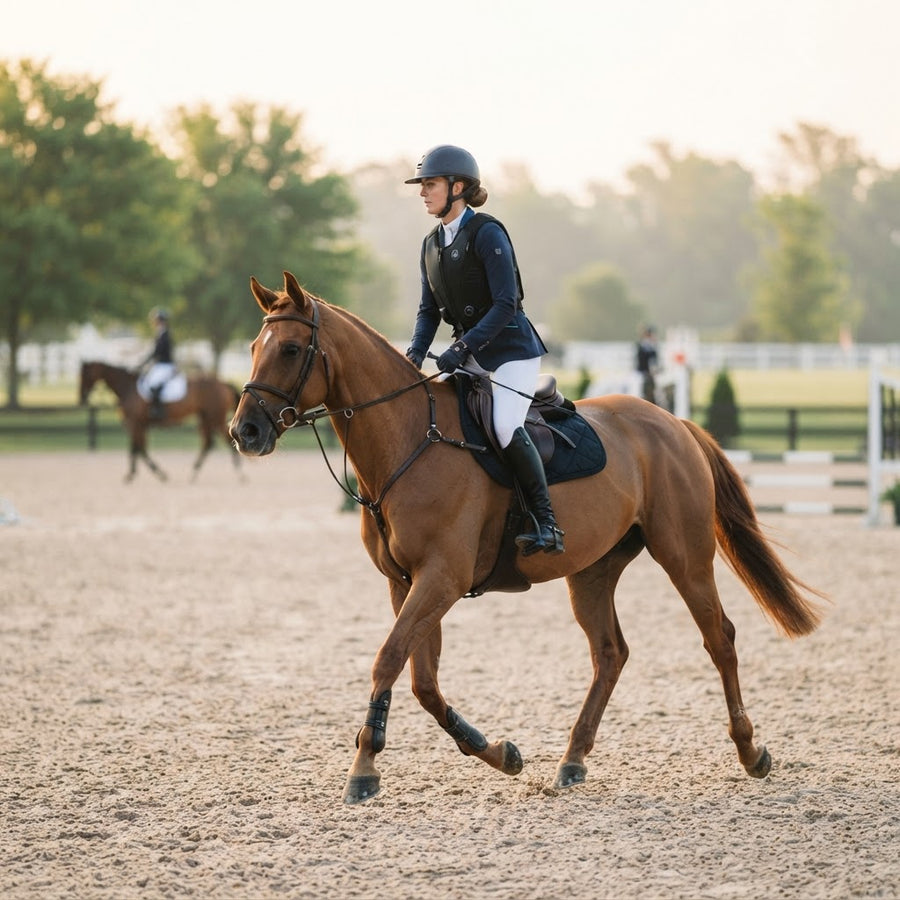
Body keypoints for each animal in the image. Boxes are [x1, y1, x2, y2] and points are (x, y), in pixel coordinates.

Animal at [79, 360, 243, 482]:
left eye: (85, 375)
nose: (82, 398)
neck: (128, 387)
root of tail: (223, 383)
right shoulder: (139, 425)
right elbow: (138, 448)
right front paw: (133, 474)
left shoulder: (135, 423)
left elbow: (139, 448)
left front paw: (157, 473)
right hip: (206, 418)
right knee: (208, 443)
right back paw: (194, 473)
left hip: (215, 418)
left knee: (224, 439)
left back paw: (239, 473)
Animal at [229, 271, 825, 805]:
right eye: (254, 347)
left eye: (289, 349)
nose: (244, 432)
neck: (410, 441)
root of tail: (674, 424)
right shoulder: (407, 583)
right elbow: (423, 681)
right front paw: (499, 752)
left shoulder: (440, 579)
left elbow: (389, 658)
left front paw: (363, 769)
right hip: (592, 570)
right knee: (610, 652)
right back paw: (573, 760)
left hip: (685, 557)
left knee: (718, 638)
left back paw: (751, 752)